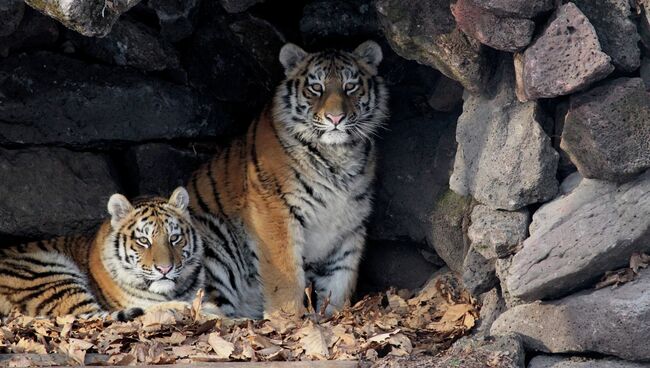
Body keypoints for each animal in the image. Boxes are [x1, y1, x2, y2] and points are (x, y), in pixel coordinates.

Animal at [190, 39, 388, 316]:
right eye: (316, 88)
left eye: (350, 87)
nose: (335, 118)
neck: (338, 154)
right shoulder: (275, 211)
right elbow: (285, 275)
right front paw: (289, 318)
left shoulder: (350, 224)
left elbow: (341, 277)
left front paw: (333, 315)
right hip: (211, 239)